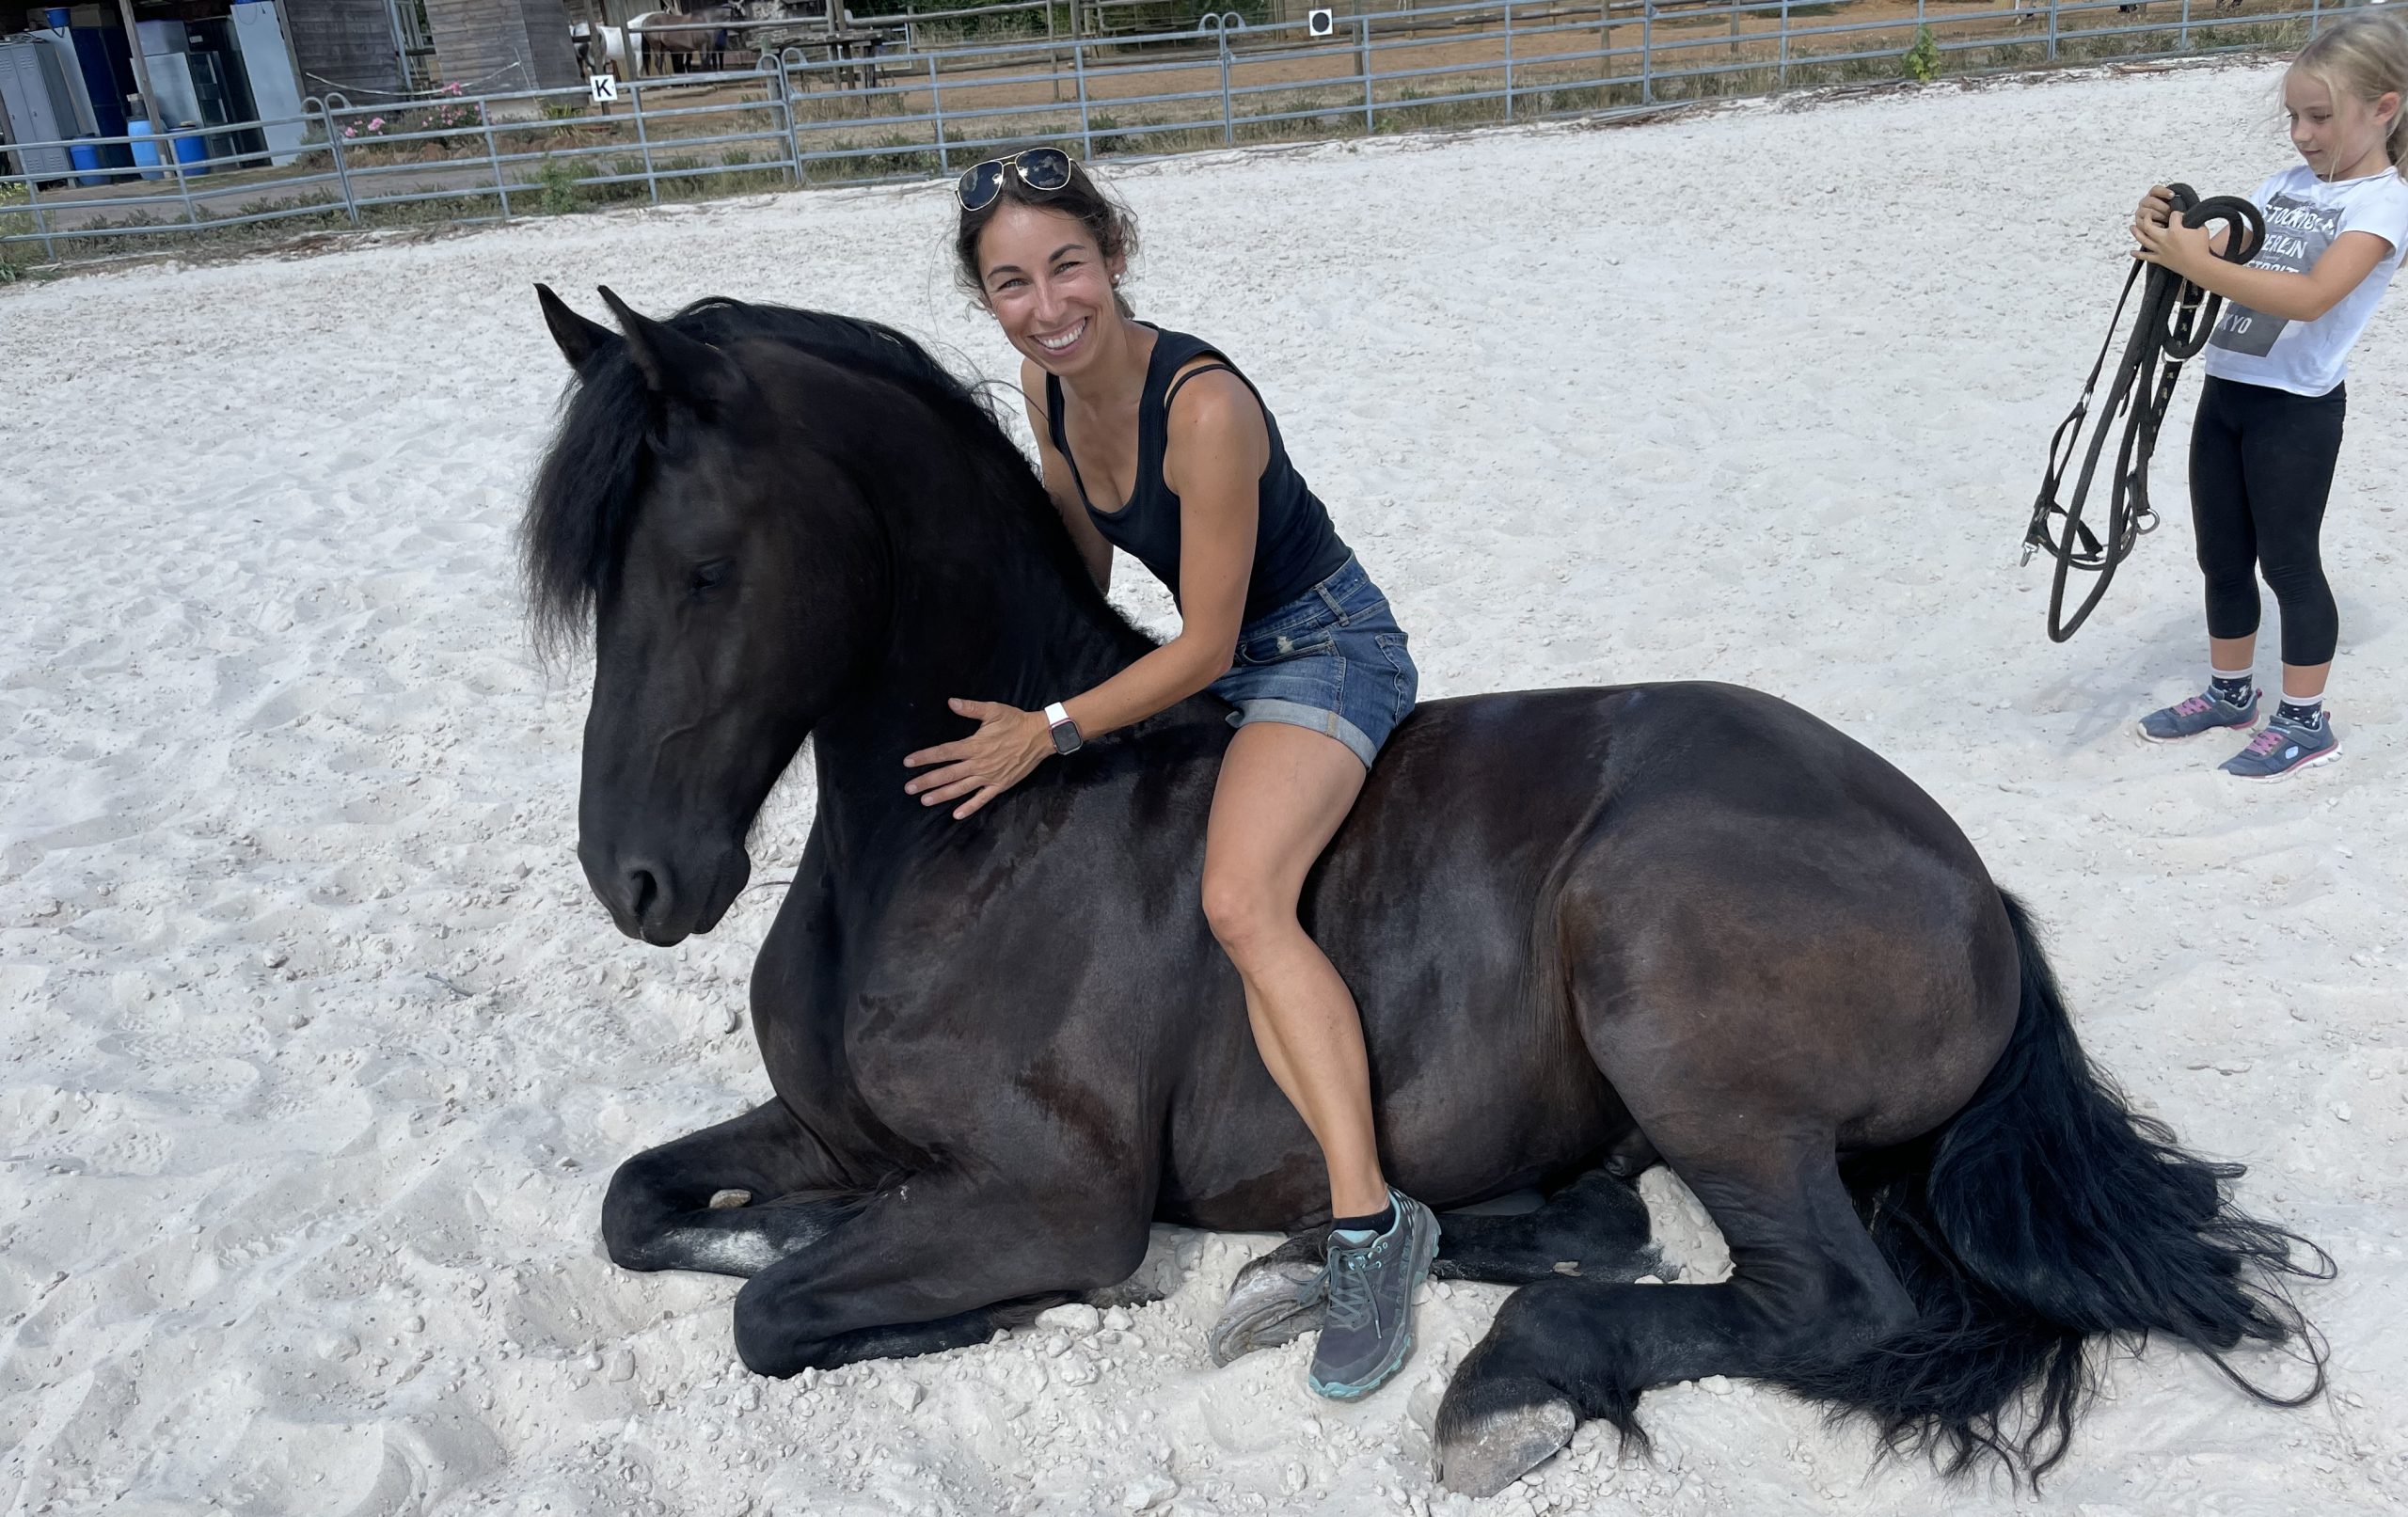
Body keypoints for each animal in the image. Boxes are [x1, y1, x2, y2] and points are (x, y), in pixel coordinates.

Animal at [520, 286, 2327, 1496]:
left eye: (702, 567)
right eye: (595, 579)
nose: (639, 880)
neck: (981, 833)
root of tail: (1973, 883)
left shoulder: (1049, 1198)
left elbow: (775, 1316)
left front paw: (938, 1300)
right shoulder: (824, 1127)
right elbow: (638, 1203)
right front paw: (782, 1221)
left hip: (1667, 988)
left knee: (1820, 1297)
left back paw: (1501, 1379)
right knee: (1600, 1218)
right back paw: (1315, 1272)